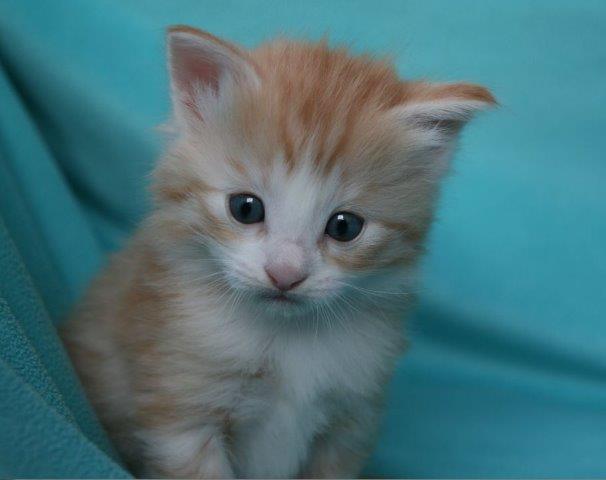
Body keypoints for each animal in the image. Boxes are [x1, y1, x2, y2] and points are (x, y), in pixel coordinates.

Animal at [61, 25, 495, 479]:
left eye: (345, 227)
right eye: (245, 208)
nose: (285, 274)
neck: (289, 342)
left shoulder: (349, 423)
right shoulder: (181, 417)